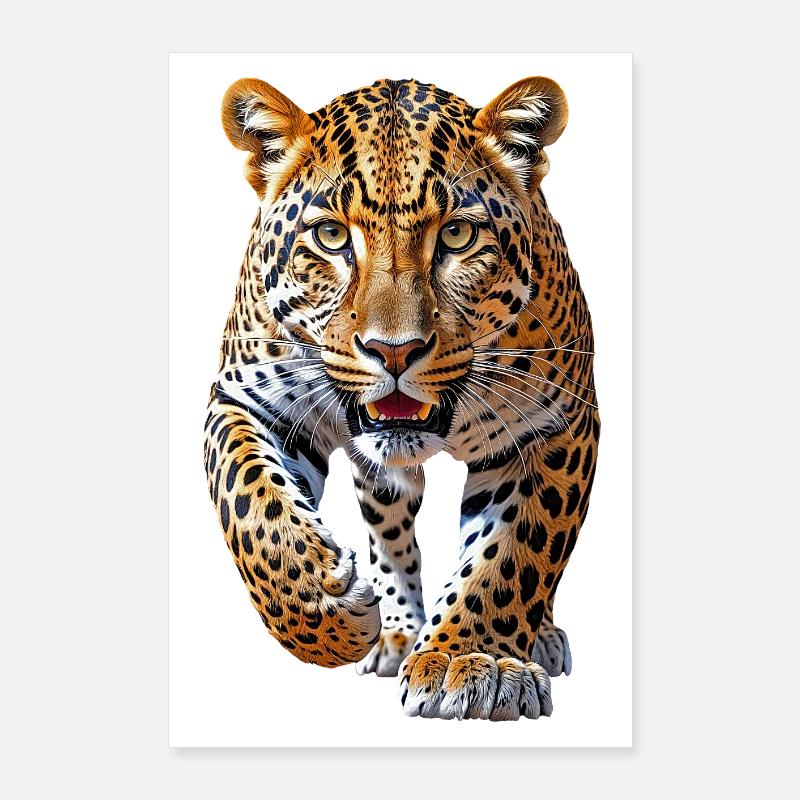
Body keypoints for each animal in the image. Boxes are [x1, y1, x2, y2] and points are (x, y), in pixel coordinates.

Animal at [204, 74, 600, 721]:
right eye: (331, 236)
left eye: (458, 235)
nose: (394, 352)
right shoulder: (247, 398)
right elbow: (252, 507)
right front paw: (325, 605)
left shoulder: (556, 424)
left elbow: (513, 554)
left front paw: (471, 660)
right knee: (389, 527)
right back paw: (393, 631)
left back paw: (537, 637)